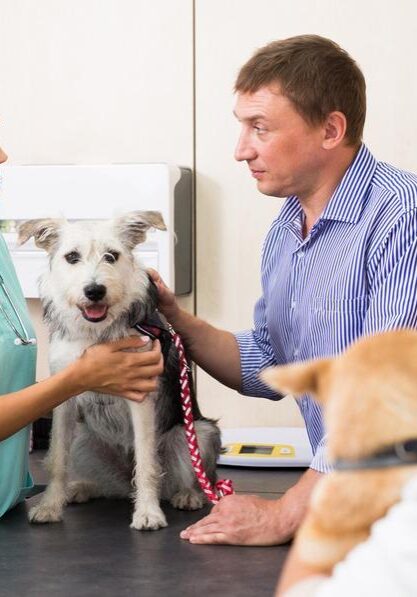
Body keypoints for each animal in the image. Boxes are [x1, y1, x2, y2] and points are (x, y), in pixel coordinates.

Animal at [18, 212, 221, 528]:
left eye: (111, 256)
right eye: (72, 257)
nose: (94, 290)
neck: (96, 334)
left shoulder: (141, 397)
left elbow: (147, 462)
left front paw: (148, 512)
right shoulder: (63, 401)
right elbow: (57, 459)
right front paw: (50, 505)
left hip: (199, 433)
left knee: (192, 476)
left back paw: (188, 495)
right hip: (84, 438)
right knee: (107, 485)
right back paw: (81, 488)